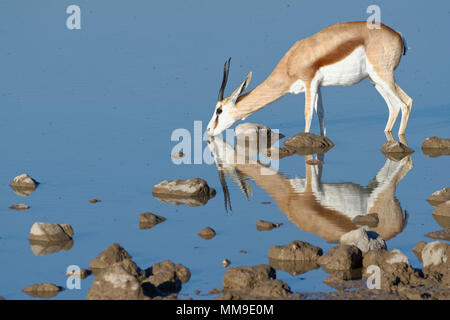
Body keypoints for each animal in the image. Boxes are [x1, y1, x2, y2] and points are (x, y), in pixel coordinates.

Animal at [207, 21, 412, 139]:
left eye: (219, 110)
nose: (208, 130)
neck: (292, 60)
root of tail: (398, 35)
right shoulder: (318, 86)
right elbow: (320, 113)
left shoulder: (309, 82)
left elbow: (308, 114)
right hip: (375, 80)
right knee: (395, 105)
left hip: (383, 76)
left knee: (405, 103)